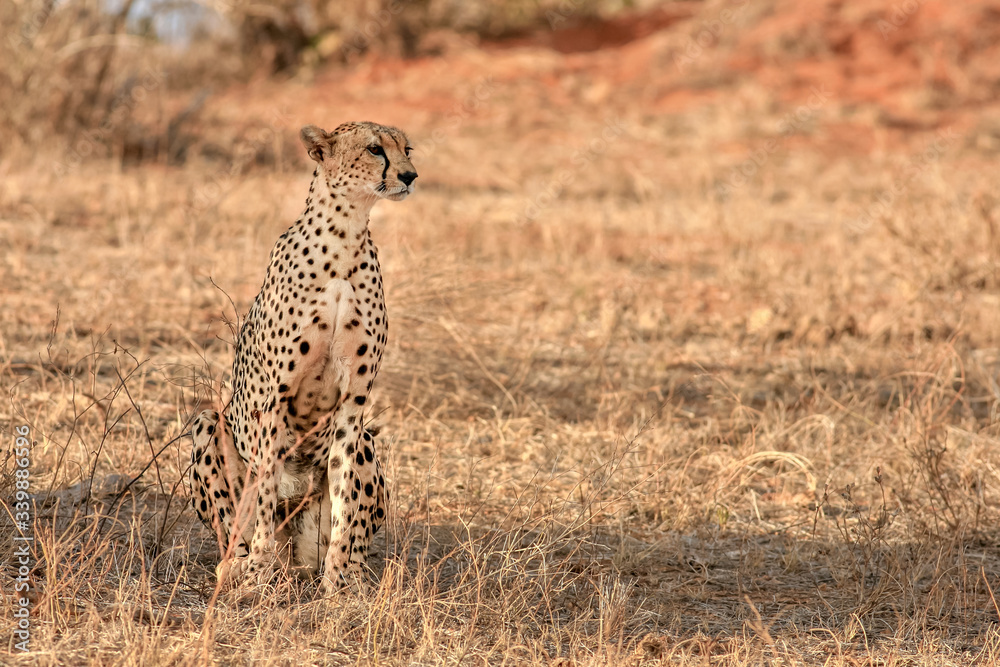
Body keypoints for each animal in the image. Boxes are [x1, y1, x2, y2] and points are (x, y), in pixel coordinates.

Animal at [189, 121, 417, 594]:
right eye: (375, 149)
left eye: (407, 148)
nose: (410, 175)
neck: (345, 236)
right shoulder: (273, 398)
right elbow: (264, 491)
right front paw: (257, 572)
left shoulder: (353, 405)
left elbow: (346, 498)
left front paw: (340, 581)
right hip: (207, 424)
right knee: (240, 521)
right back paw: (239, 565)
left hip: (366, 442)